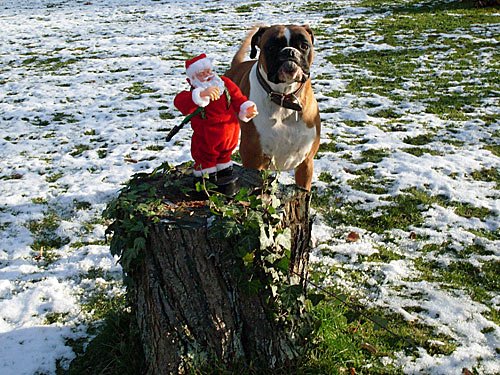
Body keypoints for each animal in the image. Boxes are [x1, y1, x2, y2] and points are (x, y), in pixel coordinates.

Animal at [226, 24, 320, 191]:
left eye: (304, 45)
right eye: (271, 47)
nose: (289, 51)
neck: (284, 97)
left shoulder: (306, 164)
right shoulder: (254, 162)